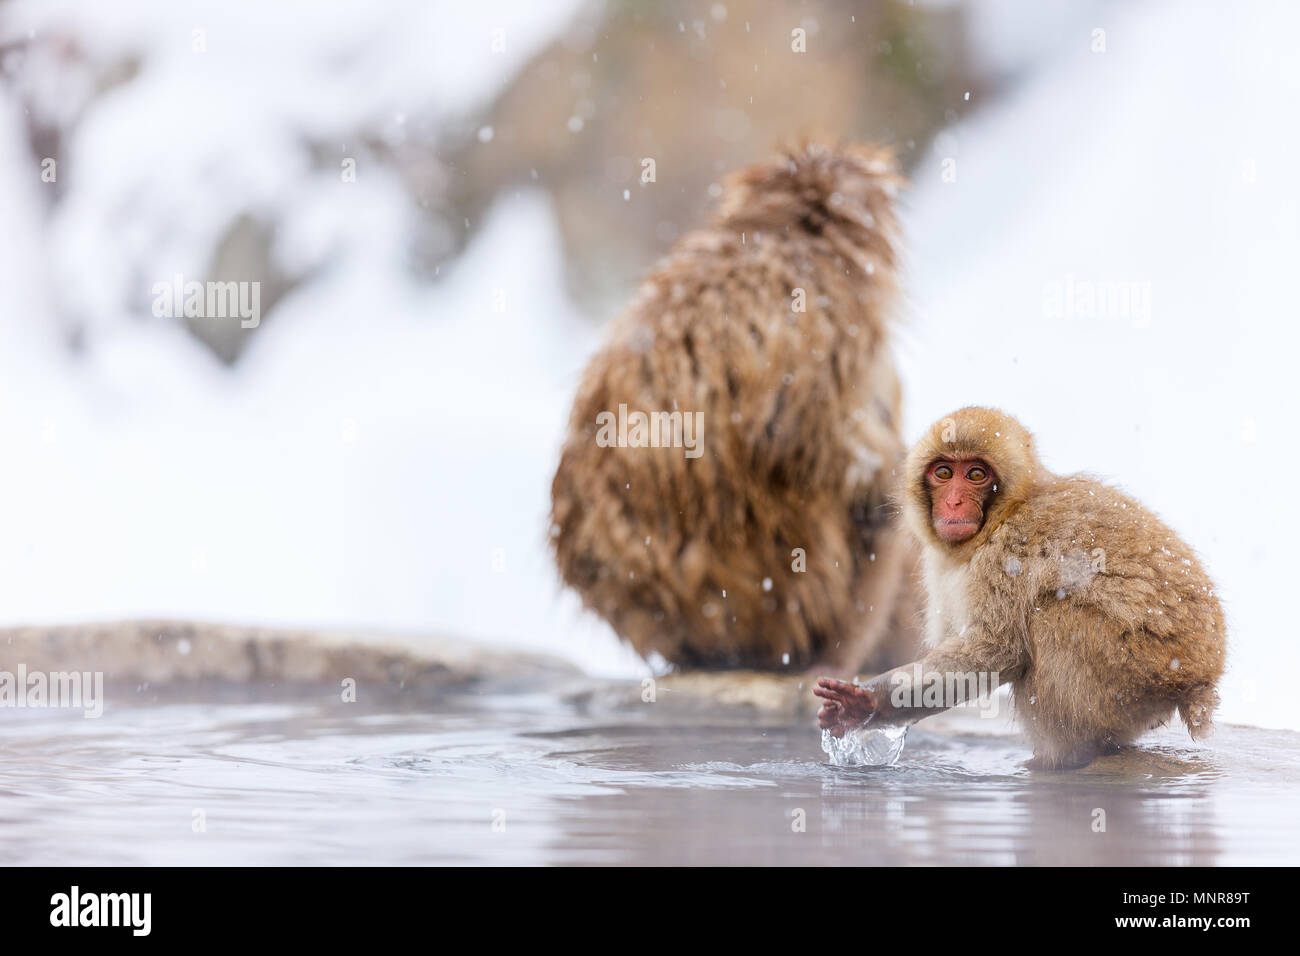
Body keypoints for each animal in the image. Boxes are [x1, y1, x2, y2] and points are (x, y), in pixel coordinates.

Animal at [815, 406, 1226, 768]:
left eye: (976, 475)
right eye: (944, 472)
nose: (954, 501)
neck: (1003, 516)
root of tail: (1197, 680)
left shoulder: (1005, 554)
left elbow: (997, 649)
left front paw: (869, 702)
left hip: (1130, 675)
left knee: (1050, 617)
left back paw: (1059, 759)